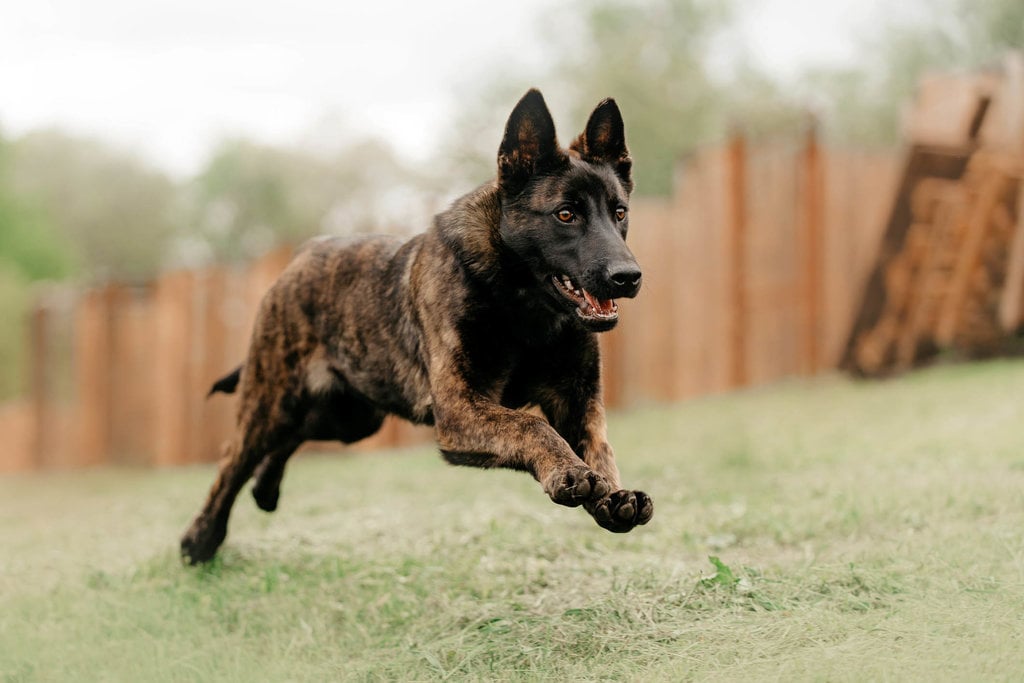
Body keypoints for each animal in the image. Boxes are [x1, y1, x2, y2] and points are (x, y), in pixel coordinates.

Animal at [180, 88, 651, 565]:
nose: (628, 277)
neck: (525, 308)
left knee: (290, 439)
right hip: (273, 403)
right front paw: (568, 472)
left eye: (619, 213)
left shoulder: (577, 403)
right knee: (234, 459)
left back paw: (265, 488)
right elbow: (531, 426)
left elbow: (599, 447)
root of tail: (300, 257)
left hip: (347, 418)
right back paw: (201, 538)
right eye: (566, 215)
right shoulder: (461, 409)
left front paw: (611, 495)